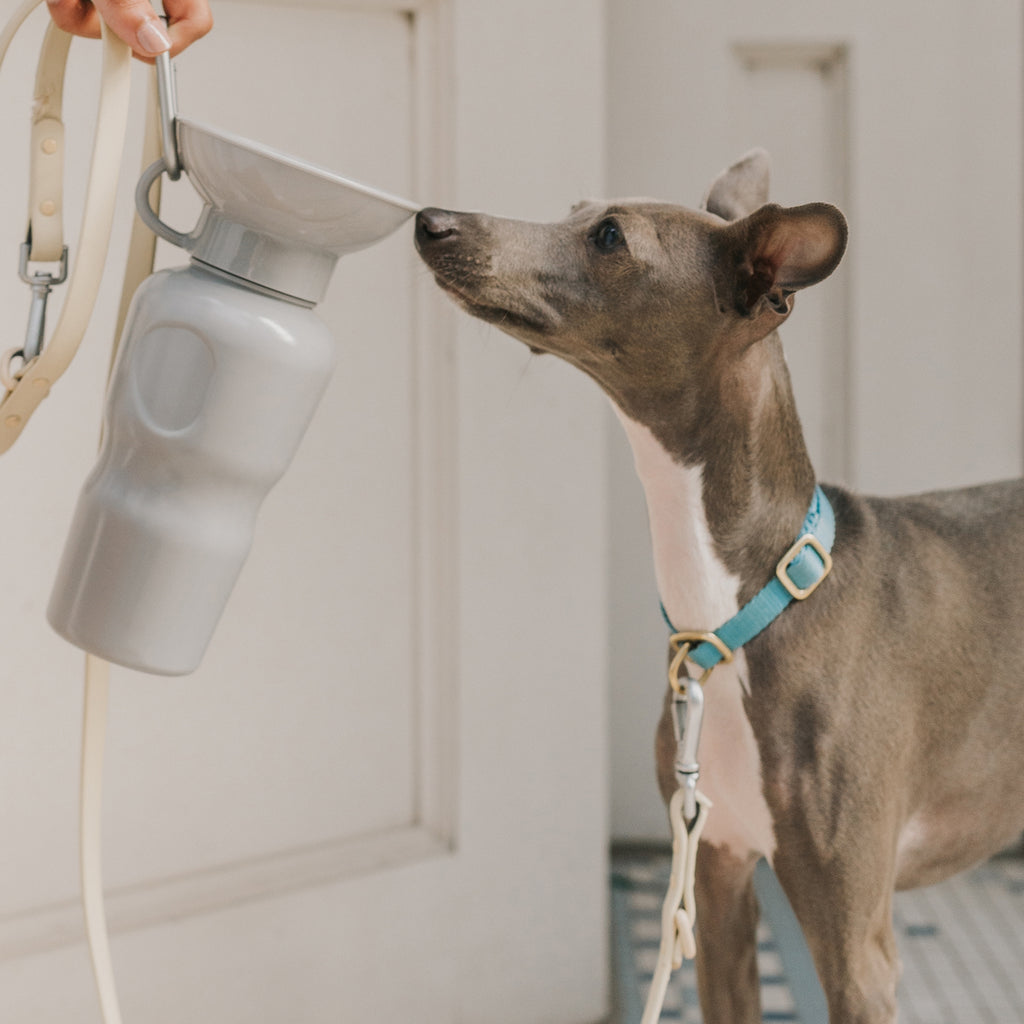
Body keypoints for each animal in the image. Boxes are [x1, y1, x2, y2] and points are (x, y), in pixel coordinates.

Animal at [411, 151, 1024, 1024]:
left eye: (609, 236)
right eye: (574, 209)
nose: (431, 221)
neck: (741, 615)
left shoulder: (857, 948)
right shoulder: (718, 876)